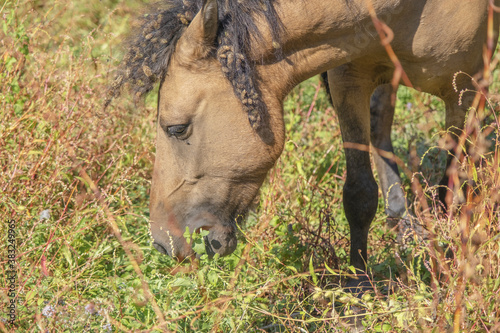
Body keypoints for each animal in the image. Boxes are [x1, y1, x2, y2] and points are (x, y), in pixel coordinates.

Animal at [107, 0, 498, 284]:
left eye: (176, 128)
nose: (163, 241)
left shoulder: (468, 87)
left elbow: (452, 186)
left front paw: (447, 263)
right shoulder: (349, 78)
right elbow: (359, 194)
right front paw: (358, 292)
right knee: (380, 125)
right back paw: (403, 225)